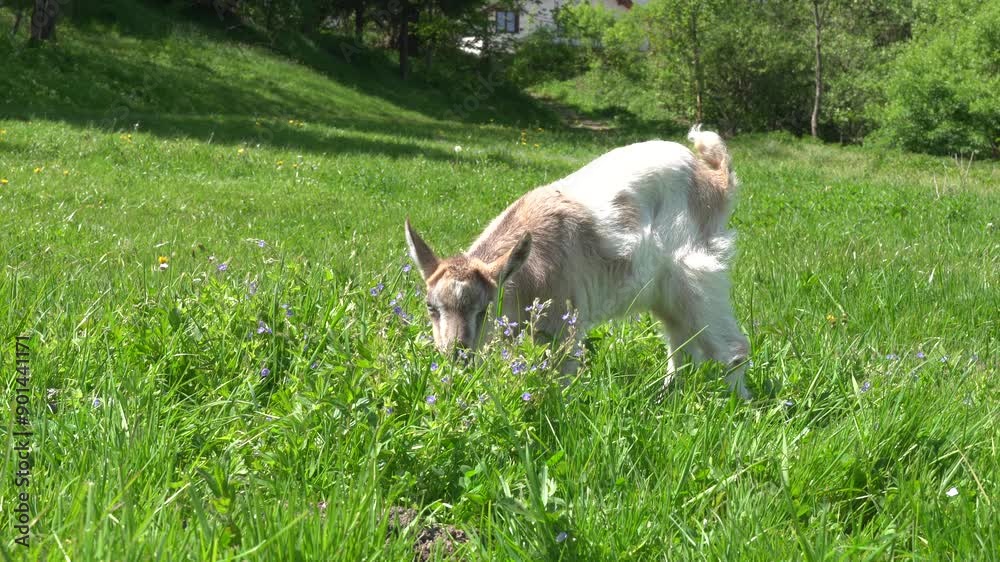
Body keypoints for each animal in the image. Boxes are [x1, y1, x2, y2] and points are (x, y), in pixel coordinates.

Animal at [405, 126, 751, 398]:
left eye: (484, 309)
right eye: (430, 307)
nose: (455, 354)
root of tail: (715, 178)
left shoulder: (564, 323)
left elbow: (560, 374)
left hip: (698, 275)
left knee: (732, 347)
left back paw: (740, 406)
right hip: (668, 294)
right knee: (682, 342)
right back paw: (667, 394)